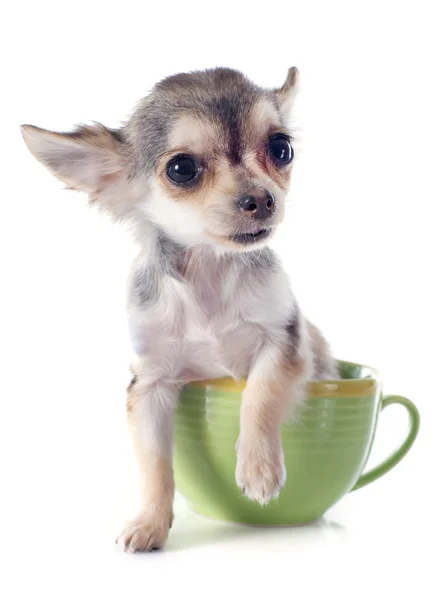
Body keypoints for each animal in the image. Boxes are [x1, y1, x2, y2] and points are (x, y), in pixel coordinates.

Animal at [21, 67, 338, 552]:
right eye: (182, 169)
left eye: (281, 148)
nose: (263, 199)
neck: (210, 271)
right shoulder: (149, 384)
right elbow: (153, 463)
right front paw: (149, 523)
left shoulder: (286, 342)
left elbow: (260, 393)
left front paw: (258, 469)